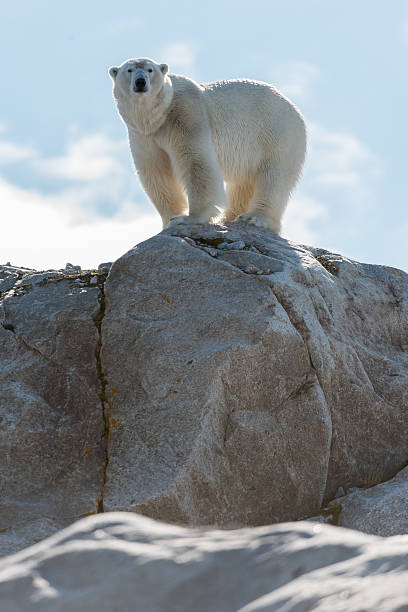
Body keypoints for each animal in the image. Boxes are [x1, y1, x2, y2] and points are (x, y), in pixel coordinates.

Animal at [108, 56, 306, 233]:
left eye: (150, 70)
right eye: (129, 70)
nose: (140, 82)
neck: (160, 115)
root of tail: (294, 108)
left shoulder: (186, 115)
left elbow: (195, 161)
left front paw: (189, 218)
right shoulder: (144, 135)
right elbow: (156, 171)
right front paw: (169, 219)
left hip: (276, 134)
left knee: (274, 177)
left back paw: (255, 217)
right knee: (243, 184)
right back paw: (230, 217)